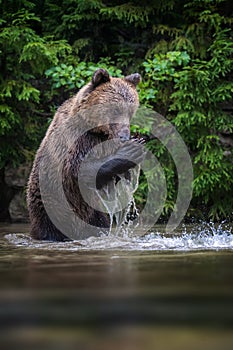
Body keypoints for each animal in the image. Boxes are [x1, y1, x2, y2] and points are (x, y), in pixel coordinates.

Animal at [26, 68, 143, 241]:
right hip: (51, 205)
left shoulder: (103, 141)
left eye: (130, 112)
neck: (95, 129)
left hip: (93, 212)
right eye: (115, 109)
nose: (124, 136)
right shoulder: (74, 140)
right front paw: (131, 150)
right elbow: (77, 169)